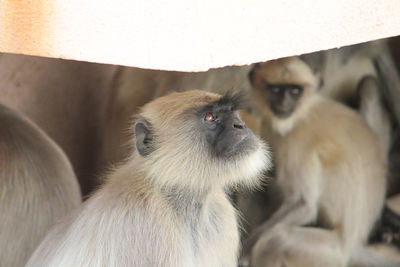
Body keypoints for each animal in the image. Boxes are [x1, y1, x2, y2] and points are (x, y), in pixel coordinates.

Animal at [239, 57, 398, 266]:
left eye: (294, 91)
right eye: (276, 90)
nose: (284, 103)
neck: (302, 112)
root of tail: (352, 246)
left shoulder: (298, 139)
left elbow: (303, 204)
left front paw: (243, 251)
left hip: (330, 251)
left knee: (276, 239)